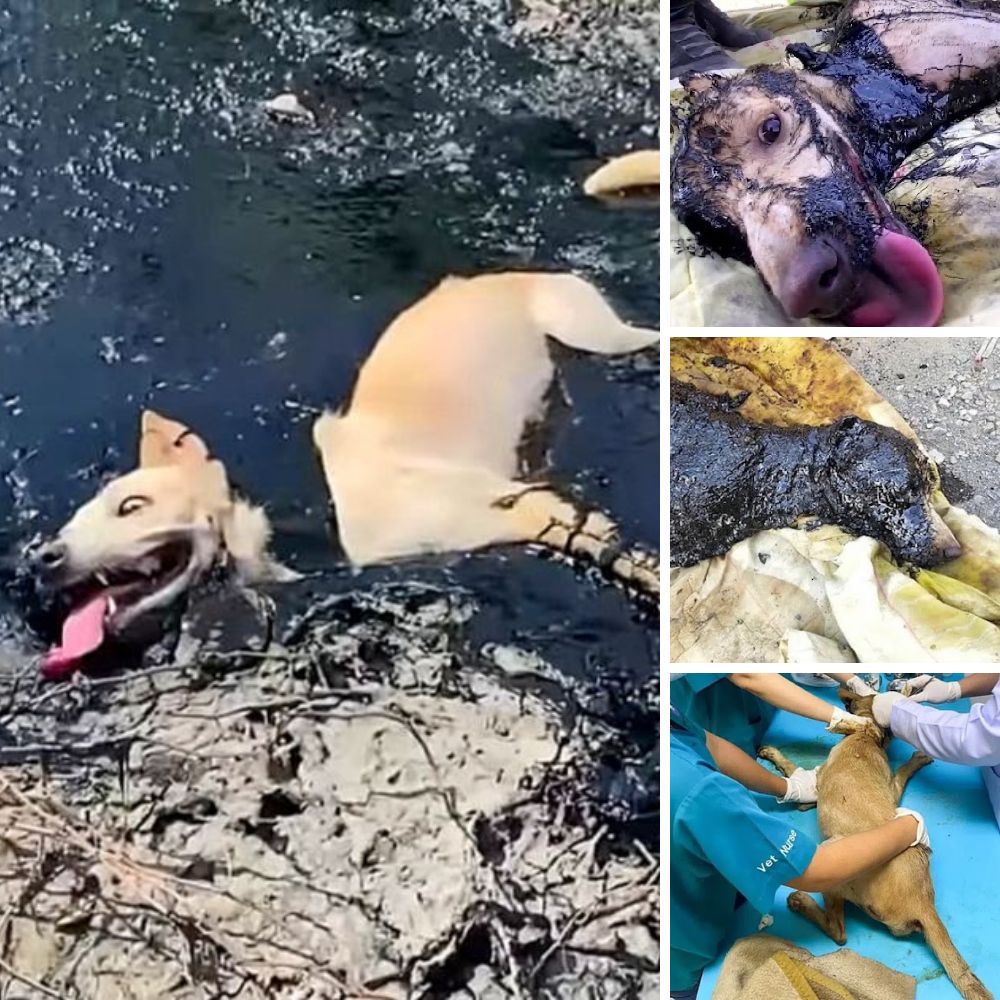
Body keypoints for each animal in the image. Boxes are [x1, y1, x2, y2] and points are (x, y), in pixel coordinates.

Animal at [756, 692, 992, 1000]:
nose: (844, 693)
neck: (868, 739)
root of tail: (924, 903)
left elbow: (793, 769)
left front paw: (775, 757)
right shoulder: (892, 788)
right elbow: (900, 774)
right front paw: (917, 759)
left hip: (835, 861)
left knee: (838, 932)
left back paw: (801, 903)